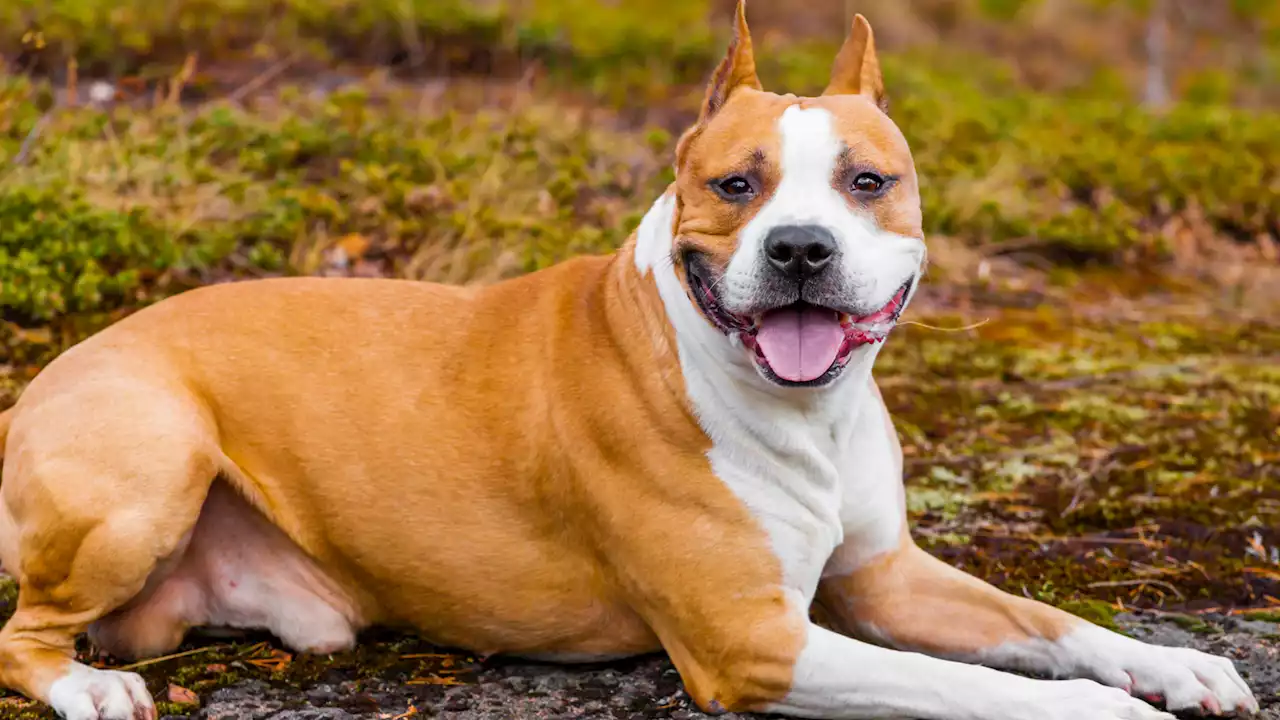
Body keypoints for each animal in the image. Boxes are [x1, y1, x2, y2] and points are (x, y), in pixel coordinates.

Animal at [0, 5, 1259, 717]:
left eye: (866, 180)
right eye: (733, 183)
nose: (799, 248)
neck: (797, 409)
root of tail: (48, 379)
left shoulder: (885, 577)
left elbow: (1043, 624)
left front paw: (1169, 666)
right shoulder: (753, 643)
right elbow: (980, 690)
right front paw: (1116, 713)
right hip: (147, 462)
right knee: (27, 635)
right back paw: (91, 687)